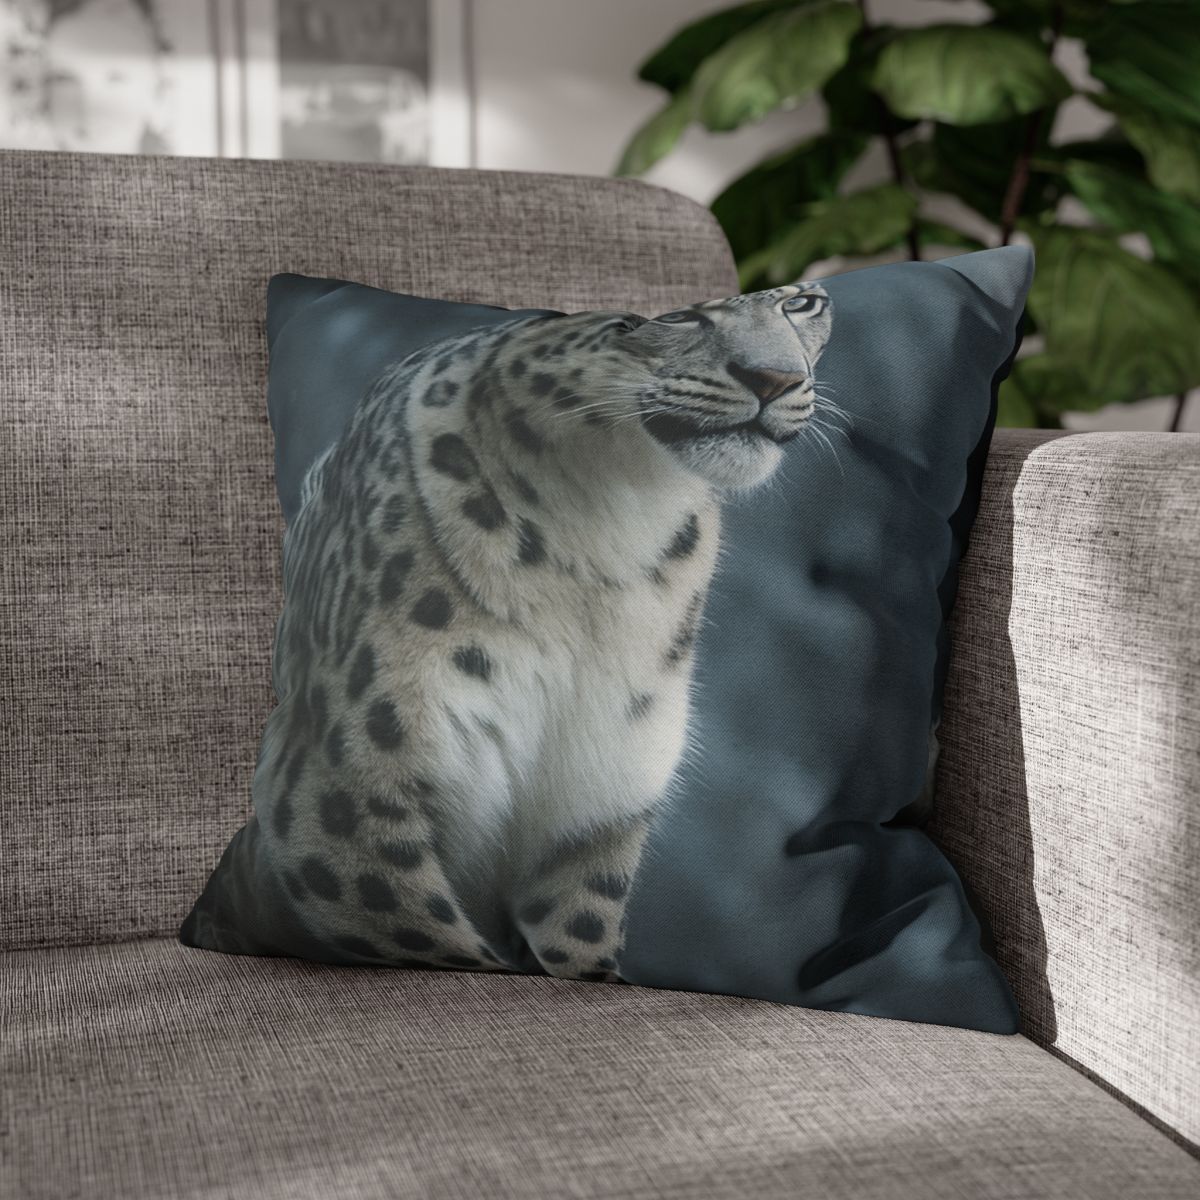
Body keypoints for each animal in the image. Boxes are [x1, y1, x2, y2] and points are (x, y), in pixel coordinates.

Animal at [253, 282, 834, 982]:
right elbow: (423, 925)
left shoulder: (597, 805)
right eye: (673, 318)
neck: (612, 527)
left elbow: (577, 930)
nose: (776, 378)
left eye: (802, 303)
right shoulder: (345, 787)